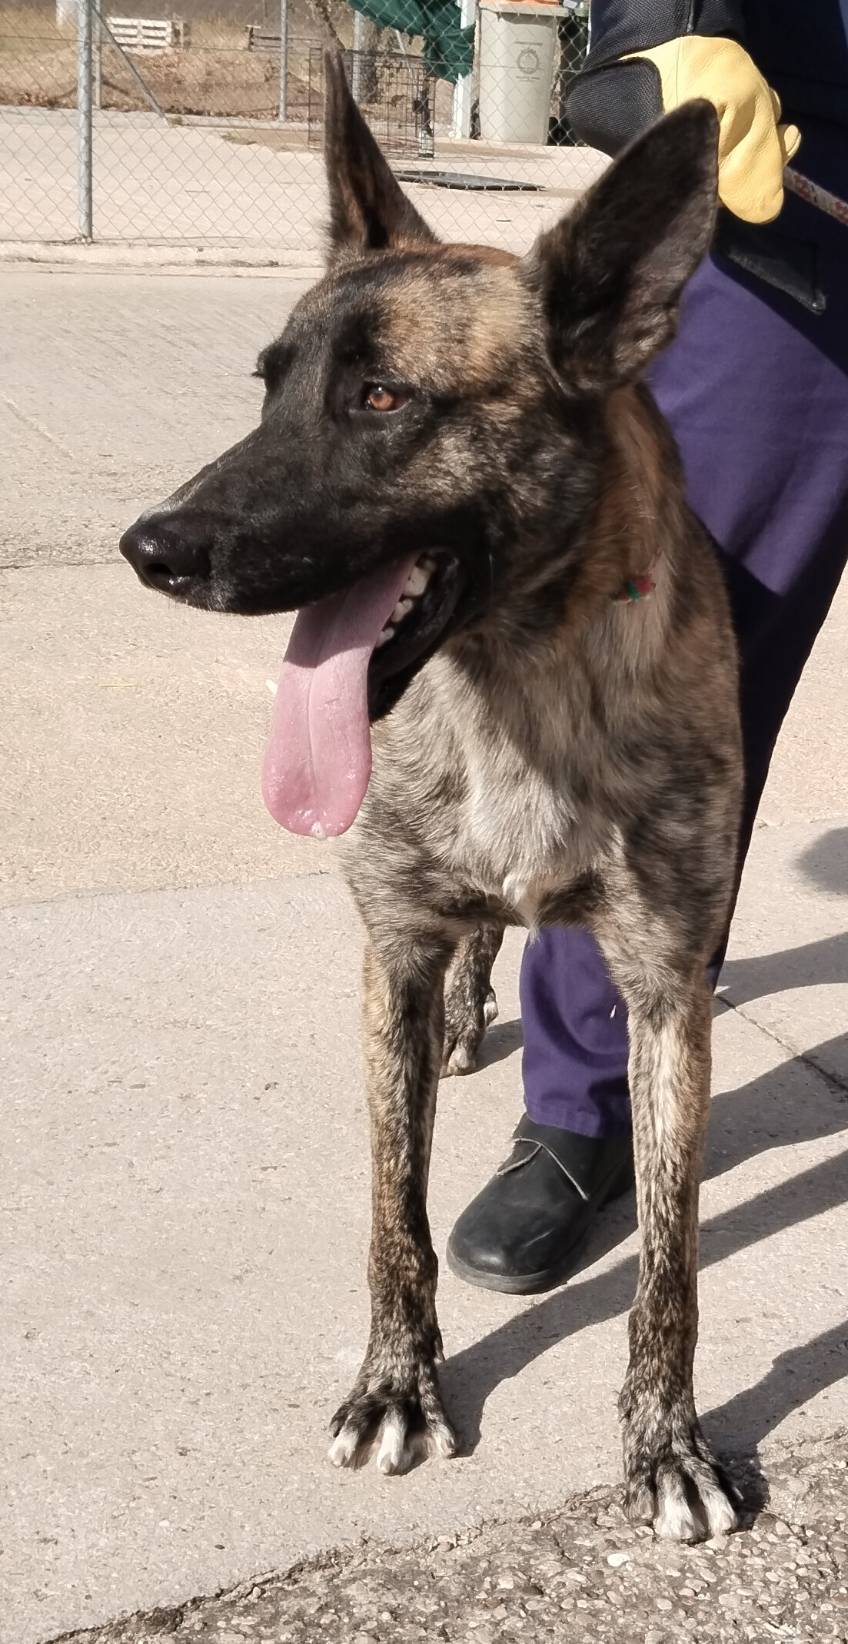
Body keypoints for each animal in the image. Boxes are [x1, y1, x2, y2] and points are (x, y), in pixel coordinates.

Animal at [120, 55, 743, 1543]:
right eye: (269, 387)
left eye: (384, 400)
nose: (148, 548)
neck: (512, 678)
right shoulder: (388, 953)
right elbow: (391, 1210)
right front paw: (396, 1381)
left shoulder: (665, 990)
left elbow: (671, 1262)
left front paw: (667, 1441)